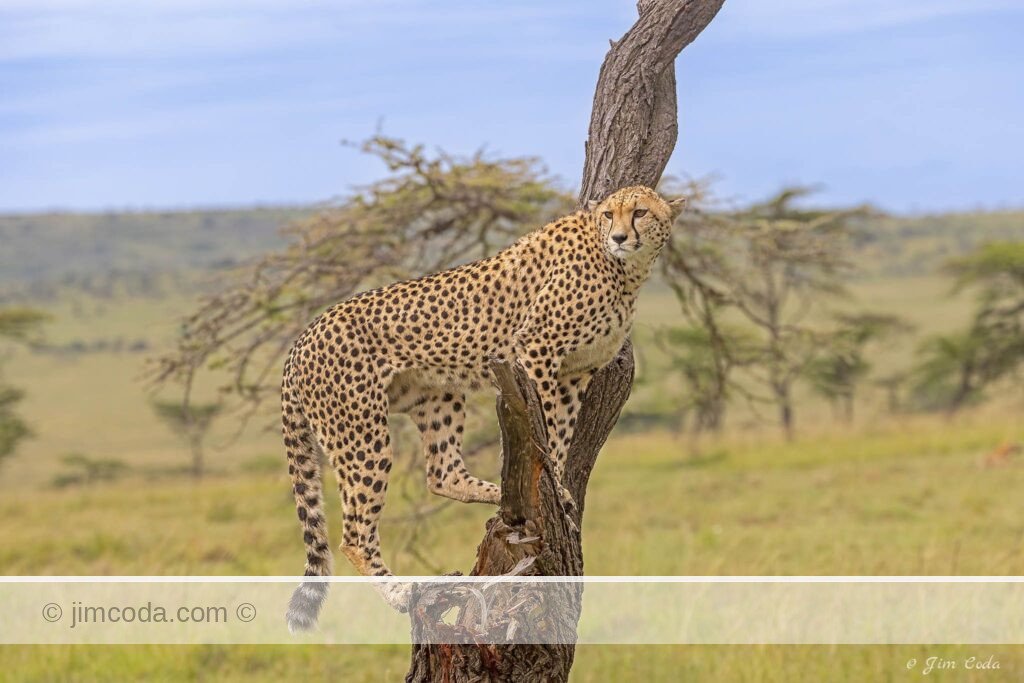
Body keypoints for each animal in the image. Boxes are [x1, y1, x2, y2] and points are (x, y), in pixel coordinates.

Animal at [282, 185, 685, 631]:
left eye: (640, 212)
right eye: (610, 215)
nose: (619, 237)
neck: (625, 270)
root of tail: (303, 336)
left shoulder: (576, 374)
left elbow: (560, 434)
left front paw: (559, 490)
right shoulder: (537, 352)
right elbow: (545, 426)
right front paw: (555, 485)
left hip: (437, 395)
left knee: (443, 474)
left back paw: (500, 495)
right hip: (361, 434)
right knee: (355, 533)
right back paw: (401, 591)